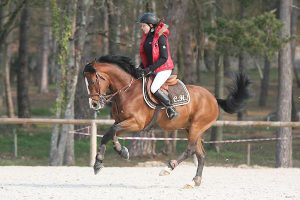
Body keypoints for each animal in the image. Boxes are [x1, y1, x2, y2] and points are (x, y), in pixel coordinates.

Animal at [82, 54, 251, 188]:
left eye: (93, 81)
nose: (94, 104)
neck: (127, 90)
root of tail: (213, 98)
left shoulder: (136, 123)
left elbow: (111, 132)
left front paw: (101, 161)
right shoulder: (121, 121)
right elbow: (111, 134)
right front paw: (116, 154)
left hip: (197, 127)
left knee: (190, 149)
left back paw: (168, 168)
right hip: (191, 128)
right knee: (200, 154)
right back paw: (194, 181)